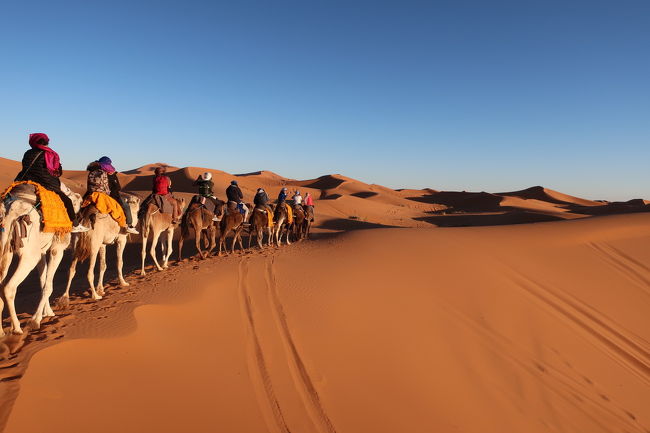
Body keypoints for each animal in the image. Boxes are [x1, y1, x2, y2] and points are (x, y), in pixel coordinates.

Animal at [0, 183, 81, 334]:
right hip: (29, 254)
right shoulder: (57, 249)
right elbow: (48, 286)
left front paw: (48, 313)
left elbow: (43, 281)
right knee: (9, 288)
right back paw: (17, 329)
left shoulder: (42, 252)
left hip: (6, 252)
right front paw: (35, 320)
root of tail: (10, 214)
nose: (80, 197)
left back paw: (2, 332)